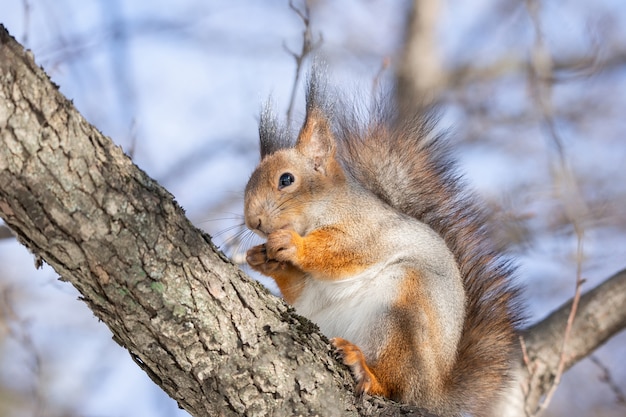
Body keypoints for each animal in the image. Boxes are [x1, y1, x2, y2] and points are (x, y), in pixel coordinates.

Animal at [241, 72, 520, 416]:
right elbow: (300, 288)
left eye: (286, 179)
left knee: (395, 385)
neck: (321, 210)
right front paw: (262, 258)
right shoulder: (308, 288)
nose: (252, 221)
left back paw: (365, 370)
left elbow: (343, 250)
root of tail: (433, 395)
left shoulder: (366, 229)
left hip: (404, 312)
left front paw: (293, 245)